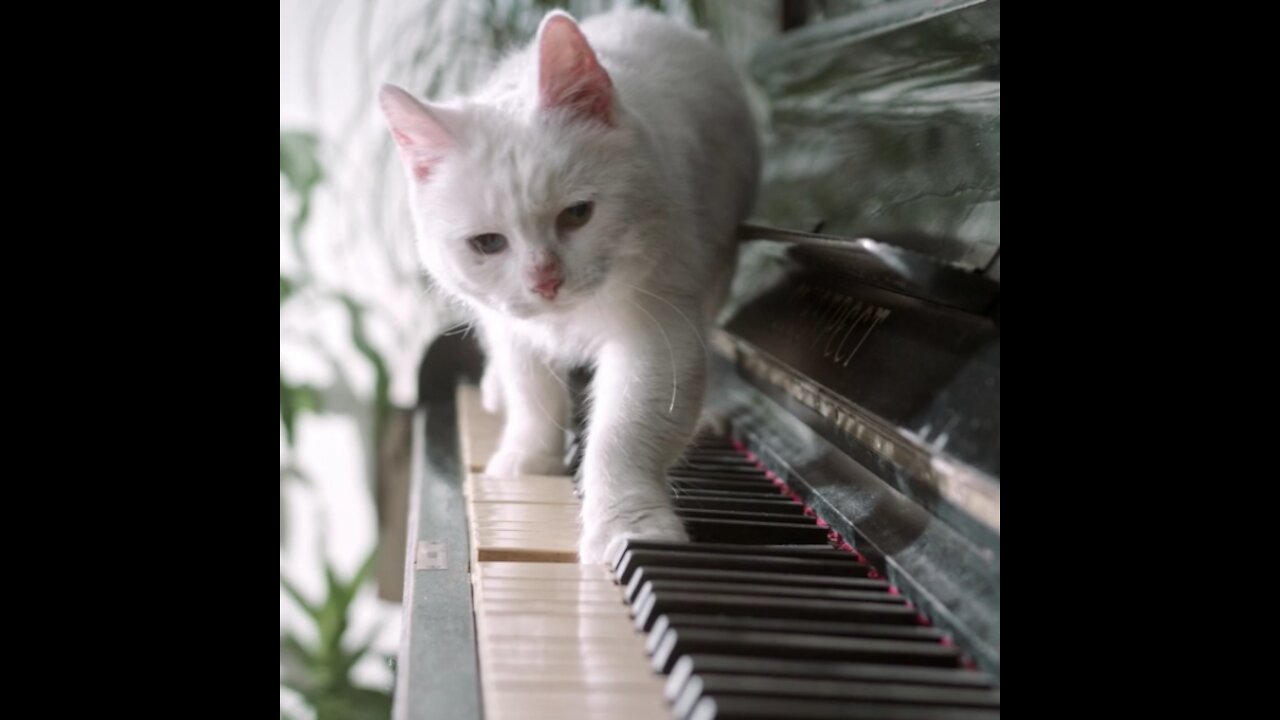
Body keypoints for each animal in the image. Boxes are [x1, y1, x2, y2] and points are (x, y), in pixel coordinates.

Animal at [378, 8, 757, 563]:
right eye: (488, 243)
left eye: (577, 214)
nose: (545, 281)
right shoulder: (513, 328)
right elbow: (532, 396)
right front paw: (527, 462)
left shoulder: (657, 332)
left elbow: (625, 432)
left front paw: (627, 529)